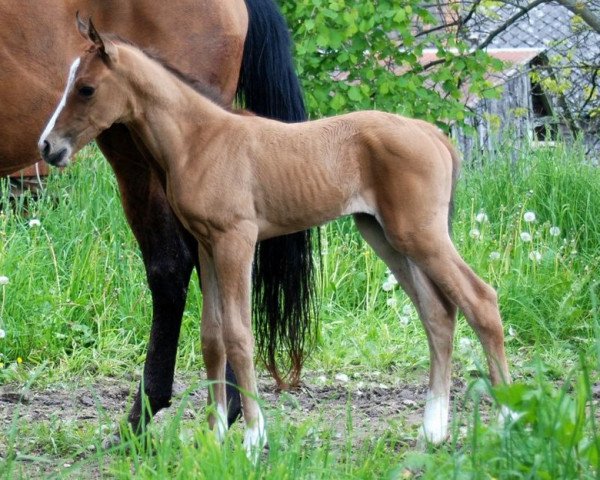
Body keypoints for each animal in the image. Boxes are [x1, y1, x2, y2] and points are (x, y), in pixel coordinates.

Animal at [39, 19, 510, 458]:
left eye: (86, 89)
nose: (47, 147)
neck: (199, 141)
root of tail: (432, 133)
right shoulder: (207, 245)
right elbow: (212, 338)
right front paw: (214, 437)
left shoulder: (236, 240)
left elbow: (239, 335)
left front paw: (252, 438)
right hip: (386, 235)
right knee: (438, 315)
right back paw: (433, 430)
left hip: (420, 235)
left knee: (481, 300)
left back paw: (509, 418)